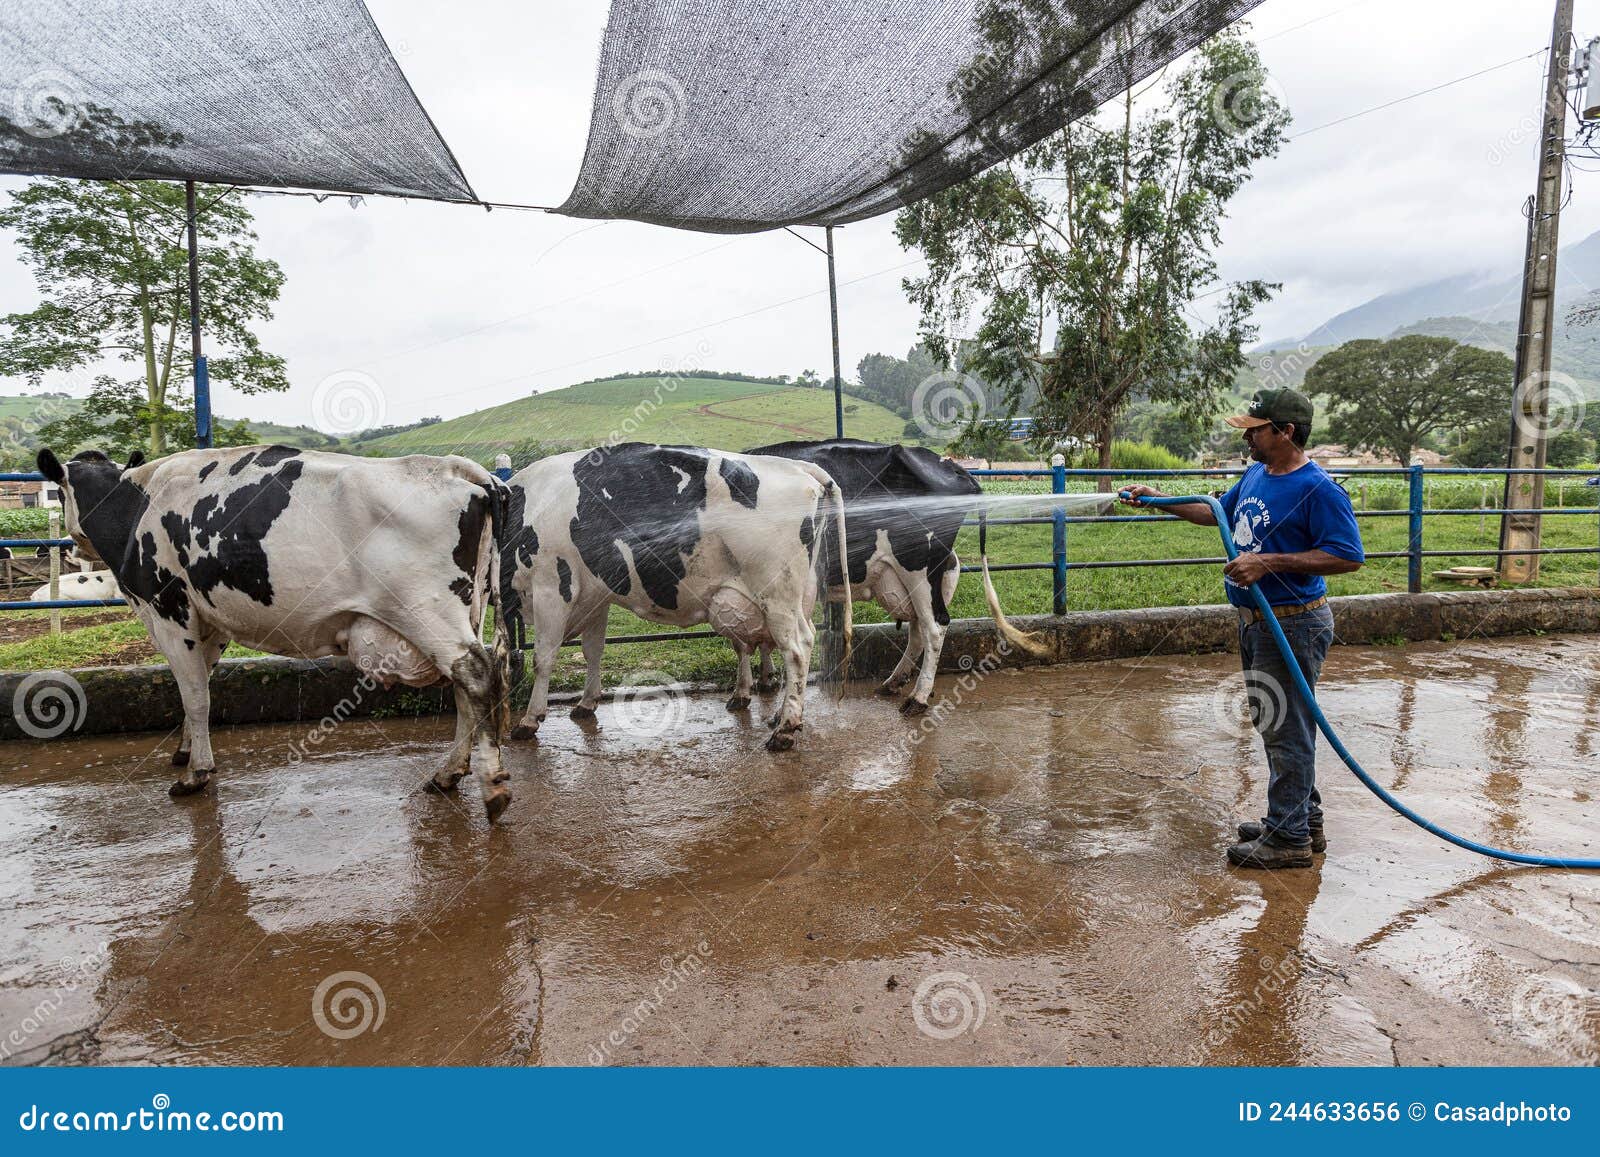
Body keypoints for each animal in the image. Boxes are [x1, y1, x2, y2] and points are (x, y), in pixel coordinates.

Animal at [37, 448, 512, 819]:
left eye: (58, 491)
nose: (73, 547)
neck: (135, 503)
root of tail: (456, 468)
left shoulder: (170, 612)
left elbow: (194, 695)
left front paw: (196, 774)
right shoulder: (211, 623)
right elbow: (200, 686)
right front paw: (185, 751)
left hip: (424, 610)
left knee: (474, 673)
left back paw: (492, 787)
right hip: (468, 609)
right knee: (465, 688)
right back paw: (448, 773)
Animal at [499, 441, 851, 752]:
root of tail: (797, 466)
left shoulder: (551, 586)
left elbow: (543, 657)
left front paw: (529, 719)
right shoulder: (595, 597)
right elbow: (593, 651)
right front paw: (586, 703)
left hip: (776, 592)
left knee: (797, 647)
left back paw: (785, 730)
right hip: (799, 594)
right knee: (797, 644)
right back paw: (780, 715)